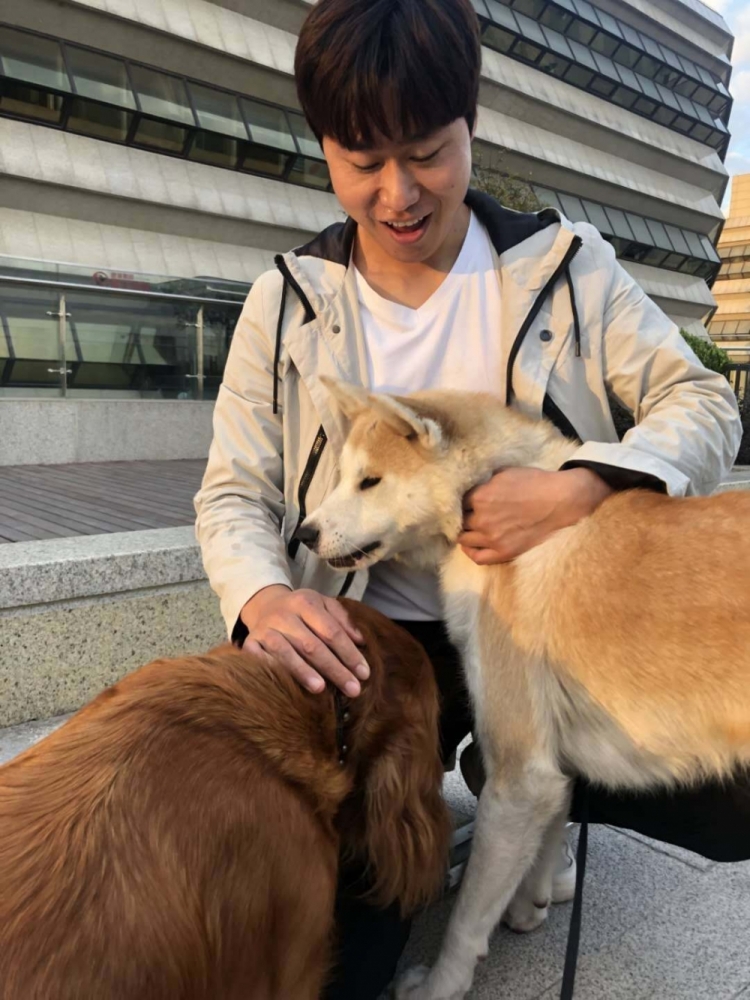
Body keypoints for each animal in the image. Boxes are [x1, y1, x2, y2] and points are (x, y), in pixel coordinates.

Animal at [302, 378, 750, 1000]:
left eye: (371, 481)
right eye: (343, 475)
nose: (304, 533)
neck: (481, 490)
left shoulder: (518, 778)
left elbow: (467, 918)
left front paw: (440, 986)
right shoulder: (546, 769)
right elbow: (548, 828)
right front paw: (529, 901)